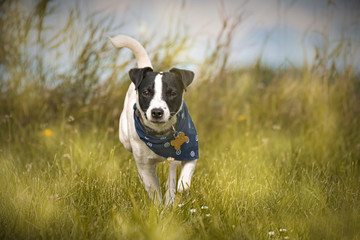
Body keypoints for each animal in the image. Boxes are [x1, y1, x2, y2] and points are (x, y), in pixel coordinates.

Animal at [109, 34, 200, 205]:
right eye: (146, 92)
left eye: (172, 93)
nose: (157, 112)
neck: (160, 135)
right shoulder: (145, 165)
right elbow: (153, 189)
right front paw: (158, 207)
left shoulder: (189, 150)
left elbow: (183, 174)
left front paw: (181, 186)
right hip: (125, 140)